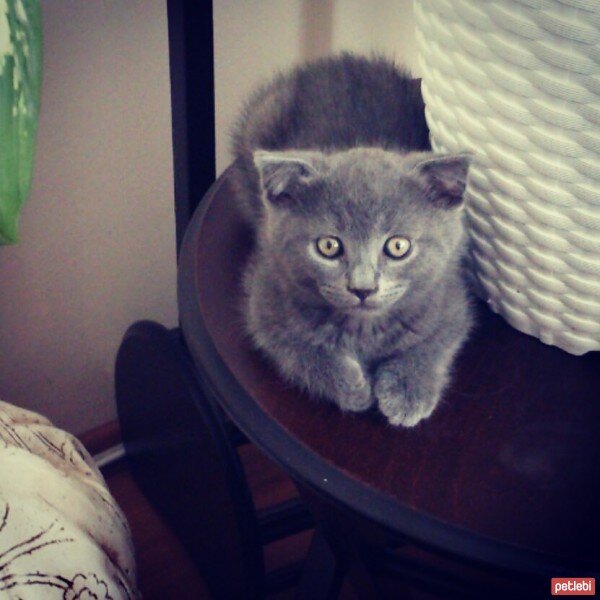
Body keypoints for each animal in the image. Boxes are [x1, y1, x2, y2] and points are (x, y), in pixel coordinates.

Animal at [232, 52, 472, 426]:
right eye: (328, 246)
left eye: (398, 246)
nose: (362, 288)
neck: (365, 329)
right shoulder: (264, 299)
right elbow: (294, 346)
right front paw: (348, 385)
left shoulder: (451, 298)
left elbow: (433, 343)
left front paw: (409, 391)